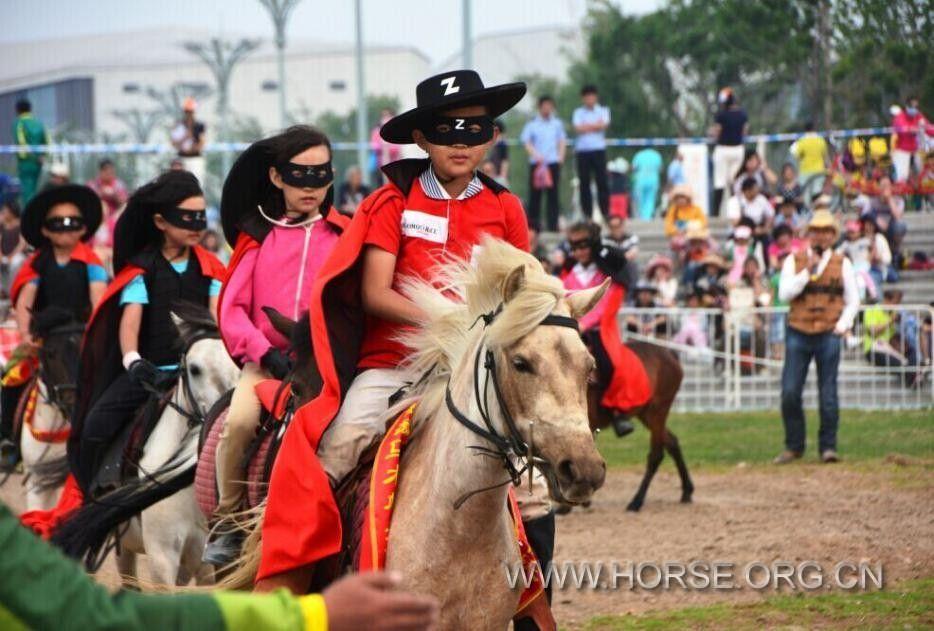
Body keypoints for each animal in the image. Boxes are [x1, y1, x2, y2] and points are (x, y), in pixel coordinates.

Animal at [588, 340, 692, 512]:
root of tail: (669, 353)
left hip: (658, 412)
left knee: (656, 455)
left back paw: (636, 501)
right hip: (647, 415)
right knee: (672, 442)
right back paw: (687, 491)